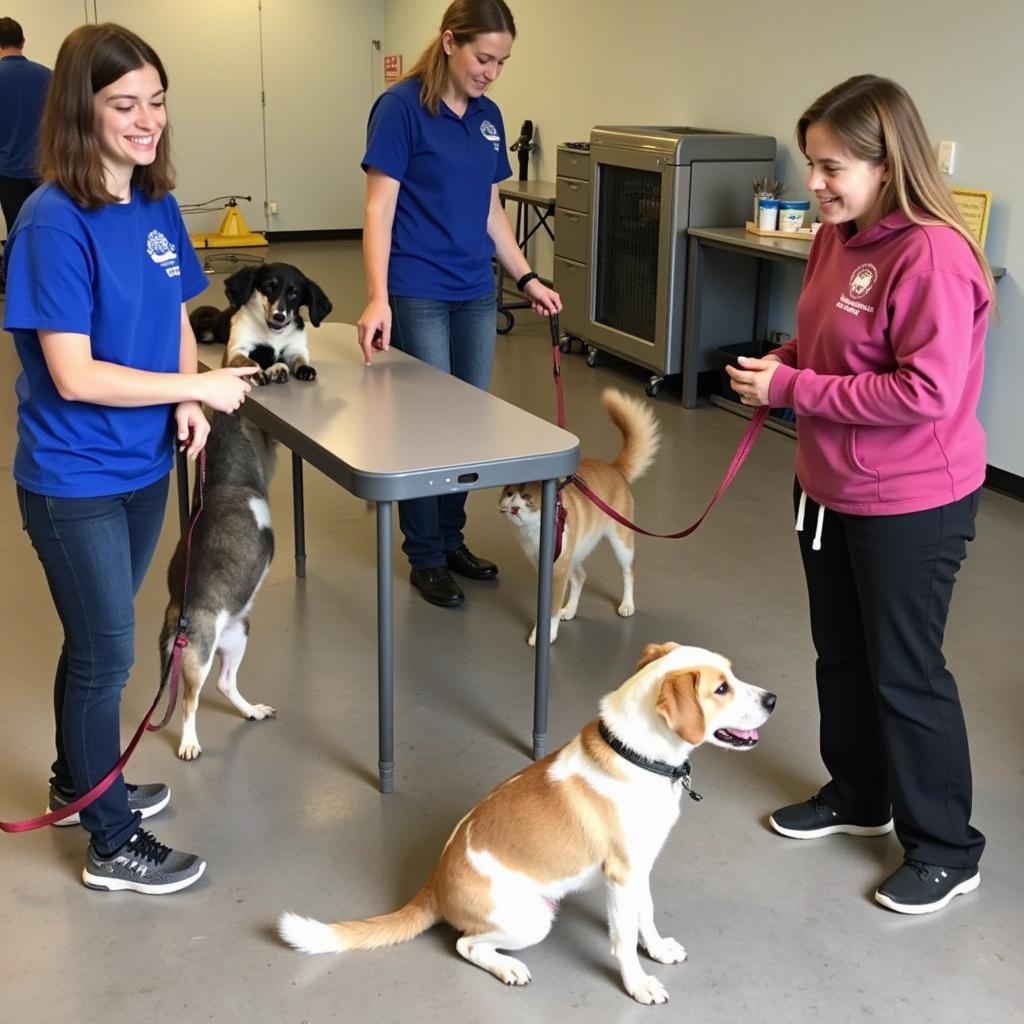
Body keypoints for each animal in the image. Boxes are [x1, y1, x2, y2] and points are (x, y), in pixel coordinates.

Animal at [191, 264, 331, 387]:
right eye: (268, 287)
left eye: (294, 294)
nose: (279, 317)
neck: (273, 334)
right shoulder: (235, 352)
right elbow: (249, 362)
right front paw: (258, 373)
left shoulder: (295, 348)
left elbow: (299, 358)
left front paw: (301, 368)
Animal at [280, 643, 774, 1003]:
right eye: (722, 689)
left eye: (732, 675)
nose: (772, 699)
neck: (638, 756)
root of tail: (434, 882)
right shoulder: (621, 875)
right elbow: (622, 939)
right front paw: (637, 983)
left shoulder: (640, 867)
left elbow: (645, 916)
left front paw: (657, 948)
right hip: (533, 921)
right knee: (466, 944)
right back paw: (508, 966)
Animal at [497, 387, 659, 643]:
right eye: (510, 494)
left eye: (527, 498)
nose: (514, 508)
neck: (536, 530)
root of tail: (614, 468)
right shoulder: (548, 570)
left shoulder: (557, 572)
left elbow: (551, 610)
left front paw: (546, 634)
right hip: (576, 552)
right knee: (581, 576)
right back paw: (570, 610)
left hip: (621, 543)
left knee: (628, 572)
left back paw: (627, 604)